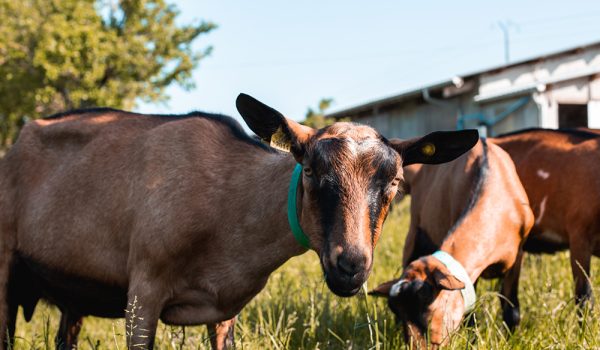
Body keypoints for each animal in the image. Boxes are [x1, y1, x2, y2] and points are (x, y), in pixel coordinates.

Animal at [0, 93, 478, 350]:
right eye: (310, 171)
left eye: (395, 181)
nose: (351, 266)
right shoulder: (143, 290)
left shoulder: (225, 310)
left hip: (71, 294)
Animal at [370, 139, 536, 348]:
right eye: (397, 312)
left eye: (429, 307)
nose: (417, 348)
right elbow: (470, 313)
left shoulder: (518, 255)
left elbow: (511, 310)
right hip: (414, 232)